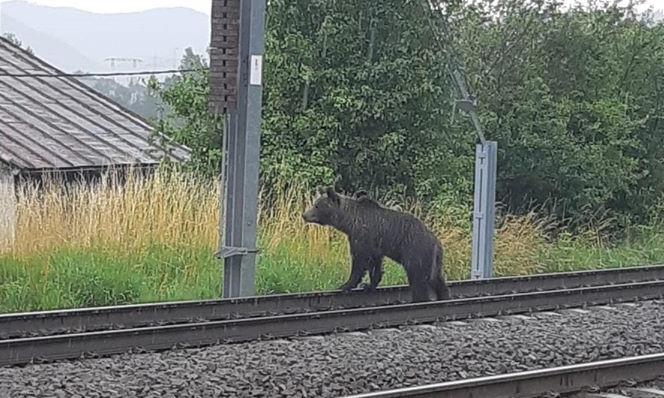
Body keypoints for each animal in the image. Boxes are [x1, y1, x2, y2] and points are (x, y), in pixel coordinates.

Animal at [302, 187, 452, 302]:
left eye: (317, 205)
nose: (304, 215)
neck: (349, 222)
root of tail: (436, 242)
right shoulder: (374, 245)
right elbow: (375, 264)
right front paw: (368, 285)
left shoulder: (362, 236)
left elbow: (359, 261)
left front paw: (345, 285)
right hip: (434, 259)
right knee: (436, 278)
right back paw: (443, 296)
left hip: (416, 250)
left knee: (418, 278)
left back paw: (419, 299)